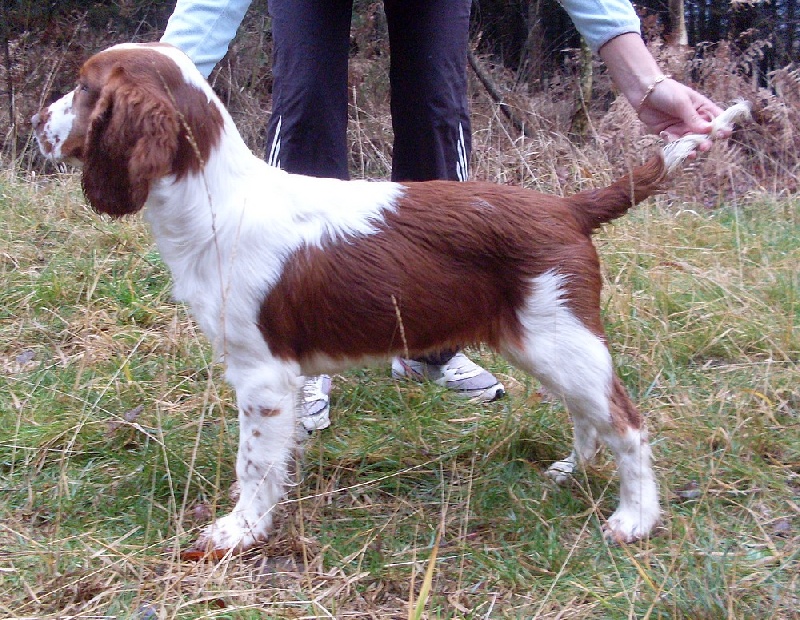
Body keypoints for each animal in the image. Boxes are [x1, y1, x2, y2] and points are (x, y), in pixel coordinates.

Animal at [32, 43, 752, 556]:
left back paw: (635, 518)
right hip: (543, 339)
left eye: (85, 88)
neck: (215, 196)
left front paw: (239, 532)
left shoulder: (262, 374)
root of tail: (567, 209)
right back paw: (570, 471)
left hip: (561, 338)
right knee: (589, 413)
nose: (39, 121)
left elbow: (254, 463)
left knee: (627, 421)